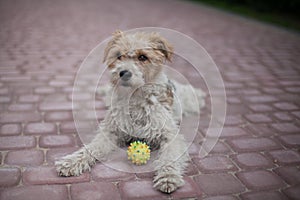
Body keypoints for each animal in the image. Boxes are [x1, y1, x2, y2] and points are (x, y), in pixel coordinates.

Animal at [55, 30, 206, 193]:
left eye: (143, 57)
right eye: (119, 56)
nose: (123, 73)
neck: (135, 98)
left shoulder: (170, 135)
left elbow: (169, 157)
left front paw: (168, 176)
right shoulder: (110, 132)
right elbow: (91, 148)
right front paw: (71, 161)